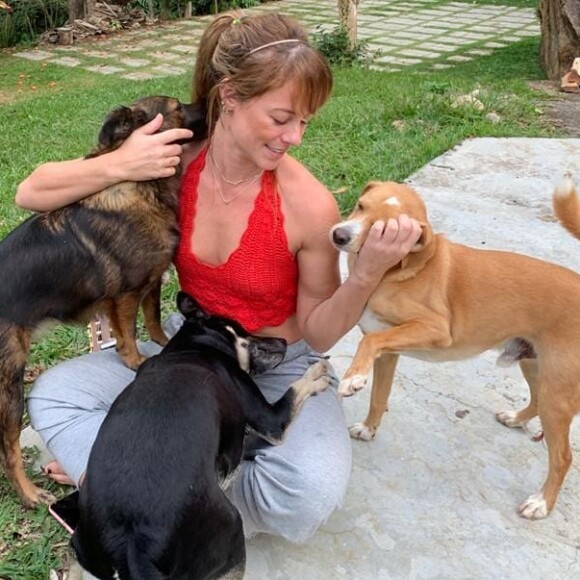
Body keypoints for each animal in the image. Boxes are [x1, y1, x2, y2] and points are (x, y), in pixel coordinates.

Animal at [0, 96, 207, 508]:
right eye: (178, 106)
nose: (213, 105)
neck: (143, 185)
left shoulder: (151, 283)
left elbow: (153, 319)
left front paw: (162, 343)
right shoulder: (125, 294)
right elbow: (127, 332)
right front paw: (136, 361)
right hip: (9, 381)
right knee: (8, 447)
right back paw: (29, 494)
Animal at [69, 292, 326, 580]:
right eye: (244, 331)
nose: (282, 340)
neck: (194, 346)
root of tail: (133, 546)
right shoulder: (270, 421)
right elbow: (295, 389)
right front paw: (316, 376)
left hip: (81, 545)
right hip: (231, 532)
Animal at [330, 182, 580, 520]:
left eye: (383, 230)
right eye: (360, 206)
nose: (339, 235)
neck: (394, 270)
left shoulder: (436, 330)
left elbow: (366, 345)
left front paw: (353, 377)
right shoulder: (389, 350)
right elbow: (378, 397)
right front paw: (369, 429)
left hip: (558, 391)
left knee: (563, 456)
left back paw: (541, 503)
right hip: (534, 365)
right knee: (537, 401)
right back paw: (516, 418)